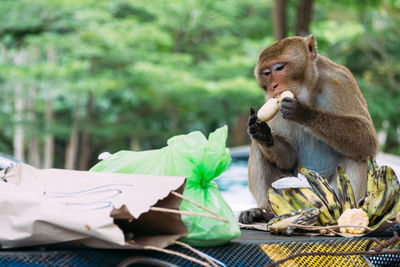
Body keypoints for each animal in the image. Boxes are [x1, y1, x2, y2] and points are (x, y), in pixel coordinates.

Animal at [238, 34, 378, 225]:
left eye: (279, 68)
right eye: (266, 73)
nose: (273, 86)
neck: (309, 93)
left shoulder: (341, 81)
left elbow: (366, 138)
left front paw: (303, 112)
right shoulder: (270, 101)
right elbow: (288, 158)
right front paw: (262, 133)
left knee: (356, 156)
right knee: (259, 150)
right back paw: (264, 212)